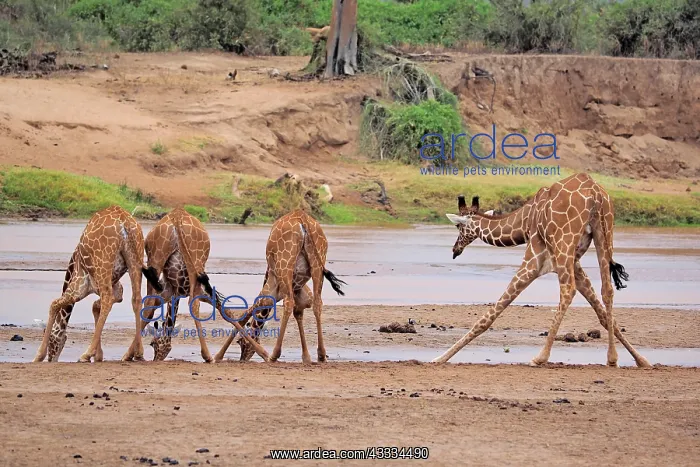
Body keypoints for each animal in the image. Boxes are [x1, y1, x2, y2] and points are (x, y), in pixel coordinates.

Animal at [33, 206, 164, 363]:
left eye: (53, 342)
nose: (52, 359)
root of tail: (124, 220)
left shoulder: (79, 285)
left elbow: (54, 304)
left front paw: (39, 356)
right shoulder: (116, 289)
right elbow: (95, 307)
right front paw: (98, 355)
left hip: (104, 266)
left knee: (107, 299)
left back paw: (85, 354)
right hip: (134, 261)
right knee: (137, 299)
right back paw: (138, 353)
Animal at [140, 207, 270, 362]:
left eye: (152, 343)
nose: (156, 359)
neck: (176, 291)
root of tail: (177, 217)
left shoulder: (173, 292)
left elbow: (225, 311)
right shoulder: (188, 292)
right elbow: (225, 310)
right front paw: (263, 353)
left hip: (159, 259)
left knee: (150, 303)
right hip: (194, 263)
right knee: (191, 304)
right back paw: (207, 355)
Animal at [213, 209, 346, 364]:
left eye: (240, 342)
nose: (243, 359)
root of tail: (303, 218)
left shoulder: (269, 291)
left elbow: (244, 315)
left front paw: (218, 356)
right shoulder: (298, 294)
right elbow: (298, 314)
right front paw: (306, 357)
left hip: (285, 265)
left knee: (288, 303)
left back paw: (274, 355)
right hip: (318, 265)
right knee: (317, 303)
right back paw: (321, 354)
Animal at [434, 173, 652, 368]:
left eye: (458, 227)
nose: (455, 250)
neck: (525, 221)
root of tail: (595, 193)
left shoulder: (535, 259)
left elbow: (492, 313)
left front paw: (441, 358)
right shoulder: (574, 263)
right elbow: (604, 316)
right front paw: (640, 360)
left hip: (565, 243)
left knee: (568, 290)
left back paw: (540, 357)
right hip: (604, 234)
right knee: (607, 290)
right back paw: (612, 358)